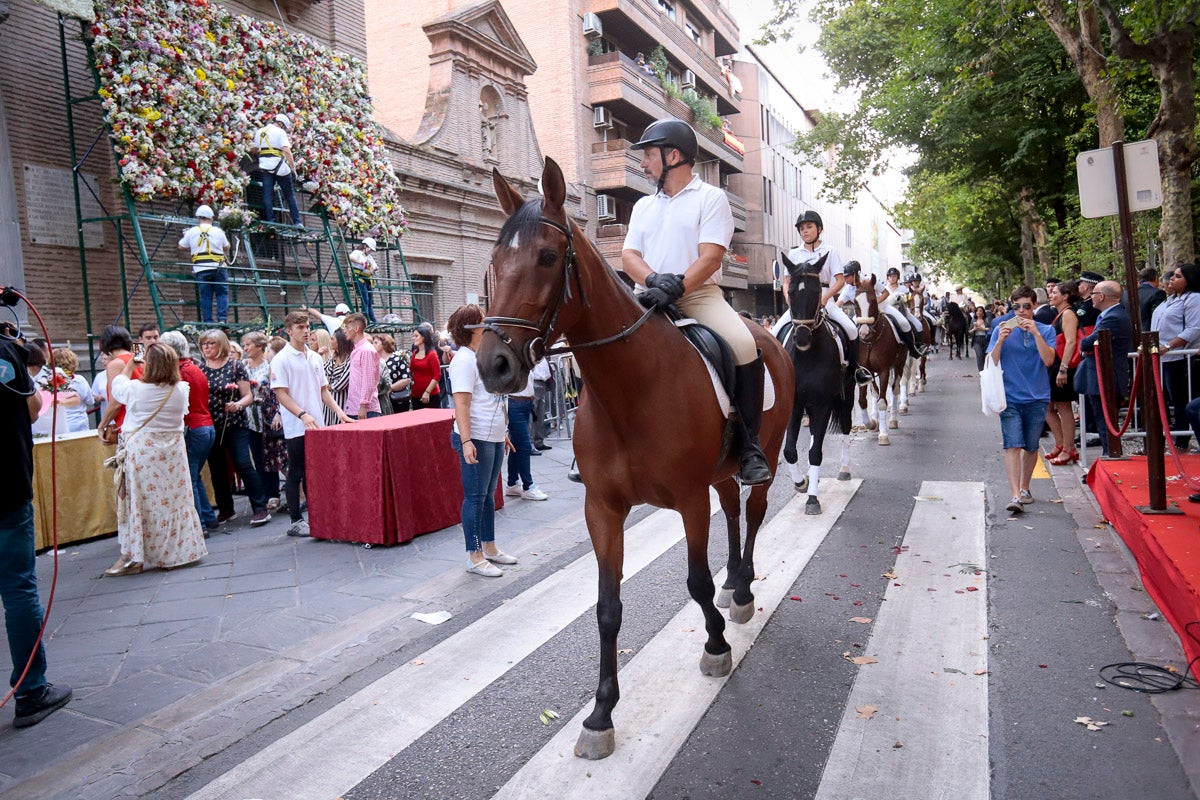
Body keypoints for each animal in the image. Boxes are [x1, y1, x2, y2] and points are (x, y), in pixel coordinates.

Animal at [475, 159, 796, 762]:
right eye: (494, 262)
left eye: (547, 258)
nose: (493, 365)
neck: (632, 389)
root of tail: (770, 335)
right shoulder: (603, 509)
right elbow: (608, 608)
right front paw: (601, 713)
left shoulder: (689, 500)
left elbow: (694, 581)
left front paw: (715, 644)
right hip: (719, 476)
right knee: (734, 512)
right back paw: (735, 581)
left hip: (761, 454)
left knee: (756, 510)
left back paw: (742, 591)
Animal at [777, 272, 854, 515]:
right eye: (791, 293)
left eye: (817, 293)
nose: (802, 337)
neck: (806, 357)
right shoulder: (795, 404)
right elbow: (790, 450)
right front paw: (801, 482)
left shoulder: (823, 404)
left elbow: (816, 452)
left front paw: (812, 499)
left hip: (847, 396)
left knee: (846, 427)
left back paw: (844, 469)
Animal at [859, 278, 902, 448]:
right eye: (855, 301)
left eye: (872, 300)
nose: (863, 333)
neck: (871, 341)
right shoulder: (864, 371)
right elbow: (863, 400)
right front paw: (871, 423)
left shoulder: (884, 370)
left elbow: (882, 401)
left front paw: (883, 435)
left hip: (900, 364)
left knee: (895, 389)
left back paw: (894, 420)